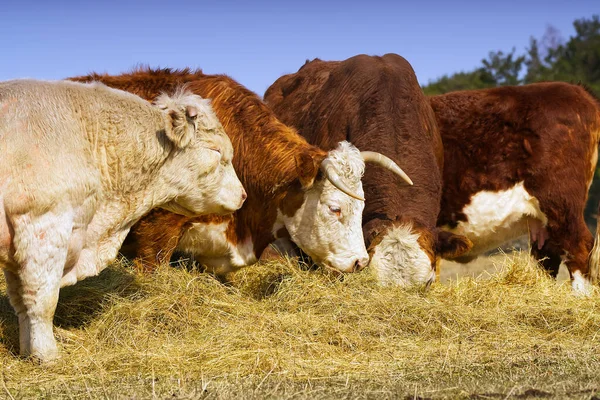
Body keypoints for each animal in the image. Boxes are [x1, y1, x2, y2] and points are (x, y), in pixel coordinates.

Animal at [0, 79, 246, 360]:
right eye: (216, 150)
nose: (243, 194)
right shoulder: (43, 226)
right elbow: (42, 302)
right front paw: (47, 356)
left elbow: (21, 301)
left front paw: (27, 352)